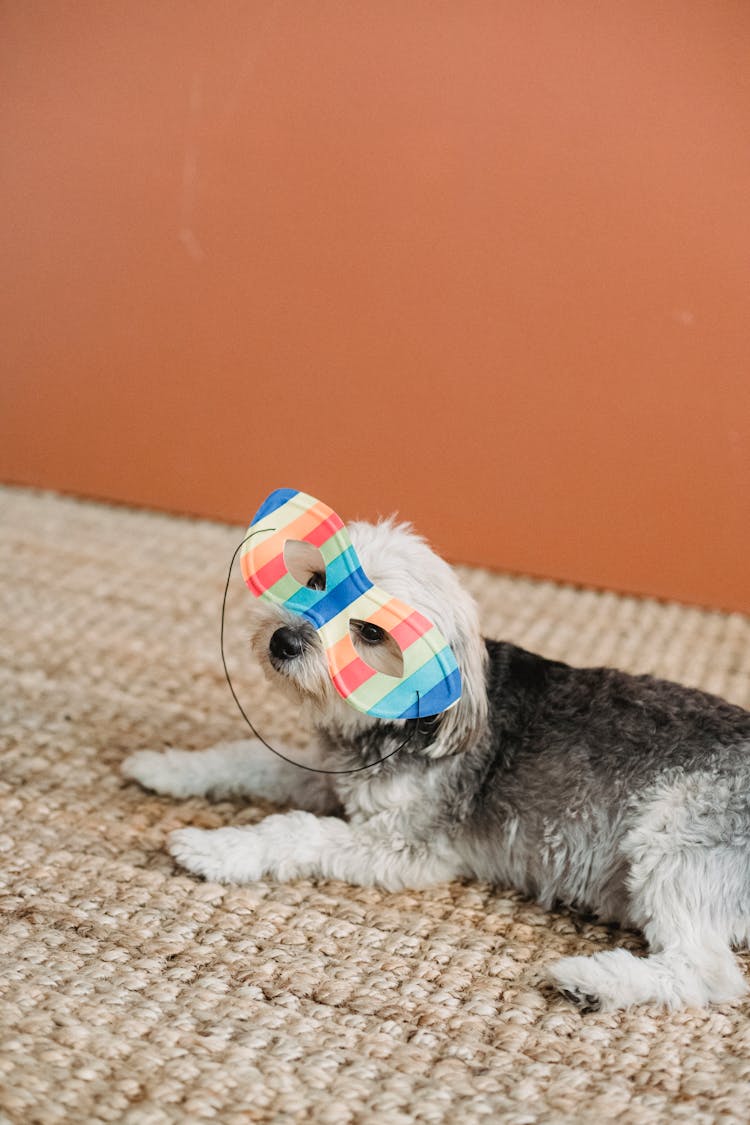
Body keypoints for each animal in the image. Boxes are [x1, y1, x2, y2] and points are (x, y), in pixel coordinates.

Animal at [123, 515, 750, 1012]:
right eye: (318, 580)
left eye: (370, 631)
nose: (283, 640)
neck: (403, 720)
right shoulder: (332, 777)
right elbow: (247, 756)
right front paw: (166, 767)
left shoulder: (404, 847)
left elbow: (294, 831)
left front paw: (216, 848)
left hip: (670, 850)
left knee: (708, 974)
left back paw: (592, 981)